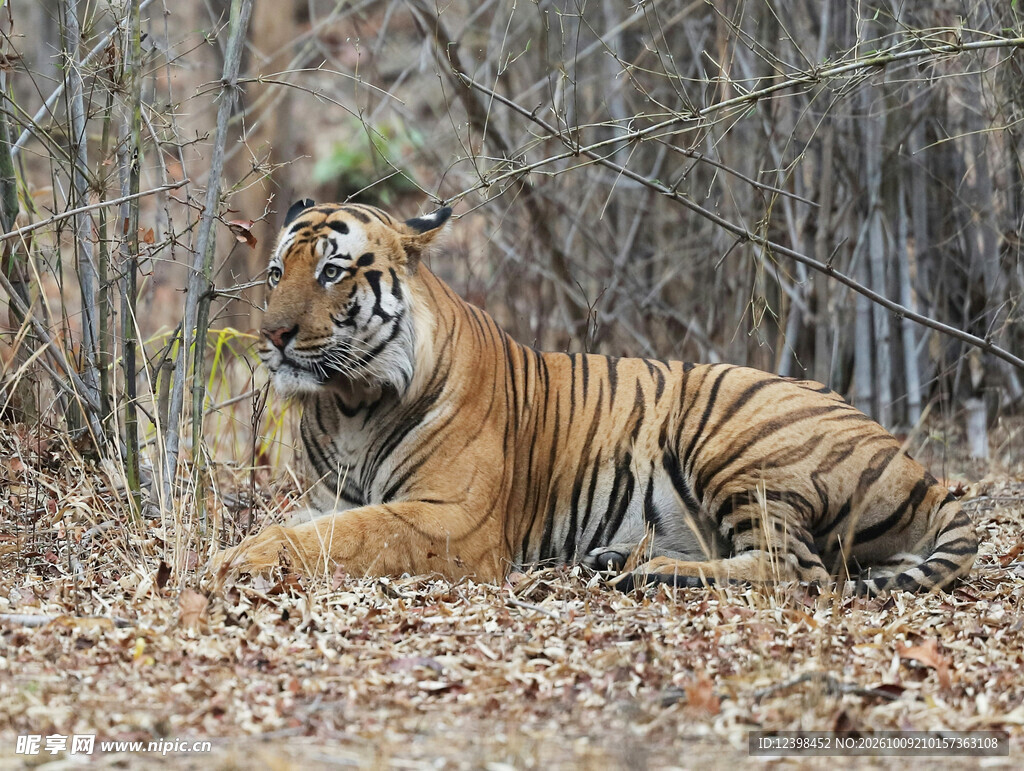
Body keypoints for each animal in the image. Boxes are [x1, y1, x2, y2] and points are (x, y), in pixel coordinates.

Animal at [210, 199, 978, 594]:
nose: (272, 335)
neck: (348, 403)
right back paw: (620, 560)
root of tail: (924, 473)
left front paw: (238, 560)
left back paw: (653, 571)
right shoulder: (329, 498)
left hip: (729, 429)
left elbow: (347, 536)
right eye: (276, 272)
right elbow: (315, 525)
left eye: (333, 272)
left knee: (798, 571)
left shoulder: (449, 518)